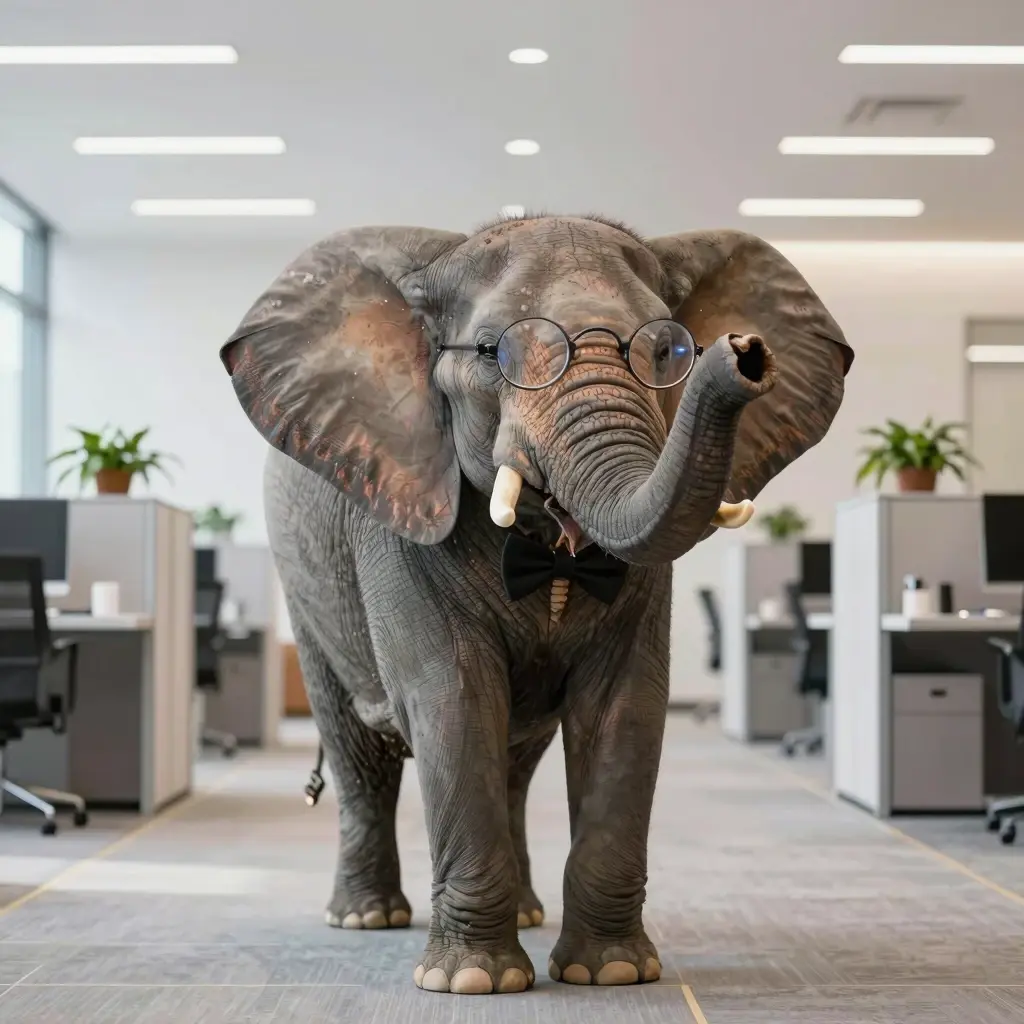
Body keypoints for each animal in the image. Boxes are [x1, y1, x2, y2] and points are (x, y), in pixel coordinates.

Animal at [219, 215, 853, 996]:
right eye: (497, 352)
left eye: (669, 351)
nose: (743, 352)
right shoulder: (402, 513)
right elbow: (454, 699)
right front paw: (471, 983)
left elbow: (623, 710)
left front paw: (612, 972)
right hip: (307, 589)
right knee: (358, 752)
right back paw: (366, 919)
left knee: (514, 766)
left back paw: (522, 914)